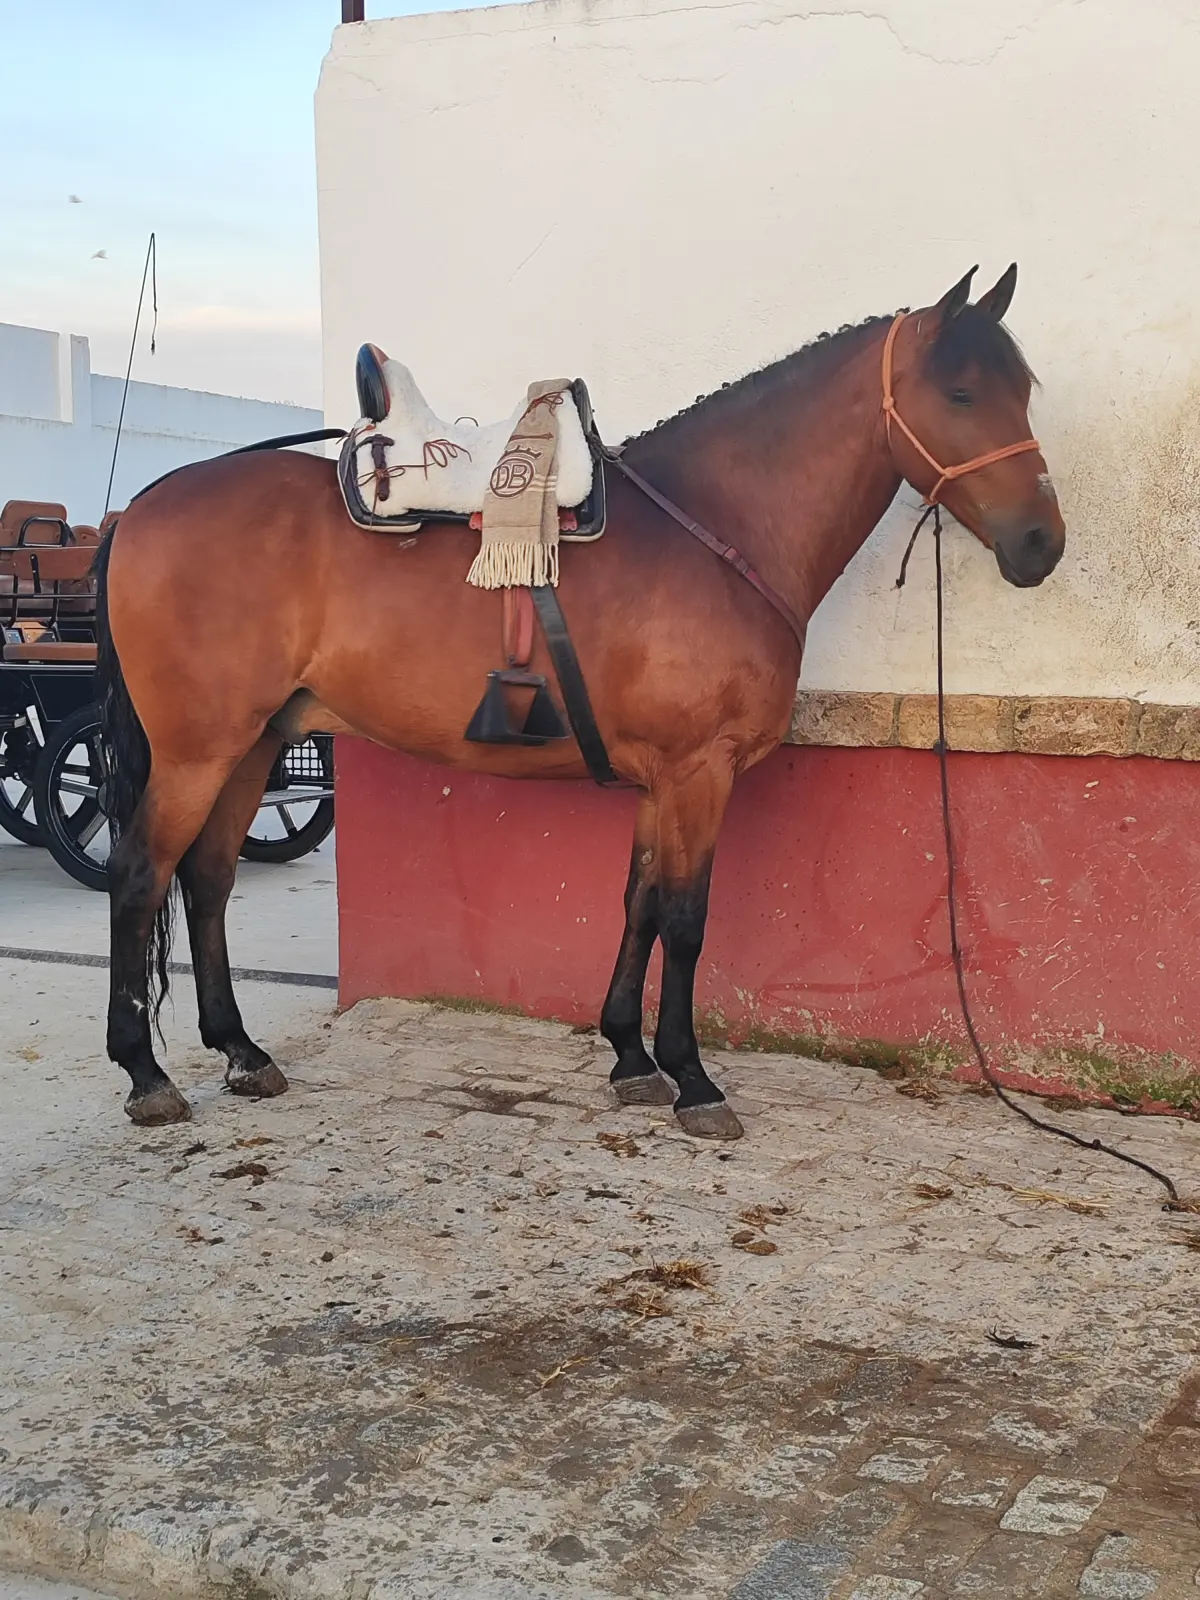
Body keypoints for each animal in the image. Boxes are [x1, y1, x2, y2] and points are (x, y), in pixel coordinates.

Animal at [96, 264, 1065, 1134]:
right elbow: (686, 918)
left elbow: (639, 903)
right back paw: (146, 1074)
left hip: (256, 740)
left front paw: (631, 1058)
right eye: (963, 392)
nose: (1042, 544)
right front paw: (693, 1079)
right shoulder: (699, 772)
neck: (719, 527)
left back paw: (241, 1051)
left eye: (1022, 389)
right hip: (198, 749)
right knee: (143, 875)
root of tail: (140, 506)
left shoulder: (662, 779)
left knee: (208, 878)